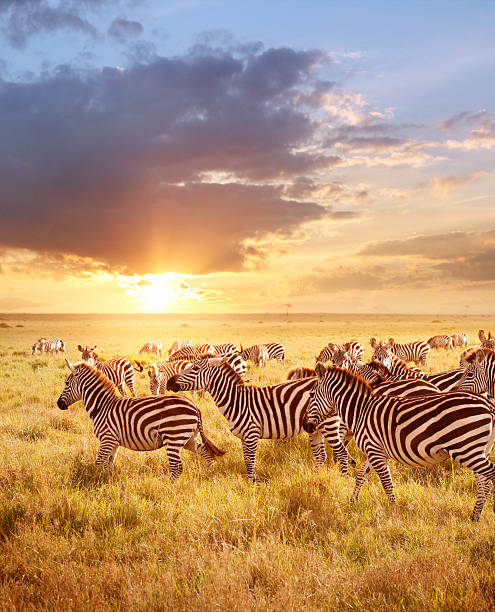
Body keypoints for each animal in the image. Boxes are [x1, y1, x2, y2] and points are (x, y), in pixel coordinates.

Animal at [57, 360, 226, 476]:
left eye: (66, 383)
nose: (59, 404)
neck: (102, 406)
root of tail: (195, 406)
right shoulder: (114, 442)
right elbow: (109, 465)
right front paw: (107, 482)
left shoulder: (107, 439)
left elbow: (98, 463)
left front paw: (95, 482)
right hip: (188, 438)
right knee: (205, 452)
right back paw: (209, 472)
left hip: (174, 437)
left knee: (177, 468)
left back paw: (170, 489)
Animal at [169, 358, 354, 482]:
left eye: (195, 368)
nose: (170, 381)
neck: (237, 401)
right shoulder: (244, 437)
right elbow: (246, 460)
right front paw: (250, 483)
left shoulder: (251, 434)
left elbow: (250, 461)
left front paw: (253, 484)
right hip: (315, 428)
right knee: (321, 455)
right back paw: (315, 478)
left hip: (329, 424)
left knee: (341, 452)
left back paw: (343, 478)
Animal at [304, 364, 495, 520]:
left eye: (311, 394)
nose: (306, 426)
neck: (361, 410)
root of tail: (487, 405)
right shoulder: (374, 450)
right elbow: (360, 476)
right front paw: (352, 502)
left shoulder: (374, 451)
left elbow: (386, 482)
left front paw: (393, 510)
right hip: (477, 450)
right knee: (483, 482)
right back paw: (475, 516)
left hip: (466, 449)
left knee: (490, 475)